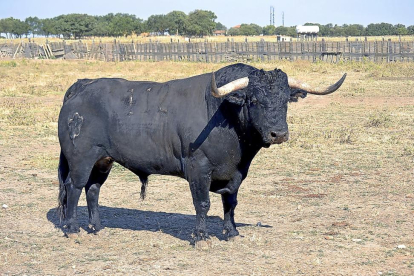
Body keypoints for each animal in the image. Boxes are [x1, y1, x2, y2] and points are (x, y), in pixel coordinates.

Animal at [56, 62, 344, 244]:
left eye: (285, 101)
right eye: (254, 100)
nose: (279, 133)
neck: (224, 112)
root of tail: (82, 86)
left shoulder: (236, 172)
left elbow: (230, 202)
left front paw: (231, 232)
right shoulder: (198, 168)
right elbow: (202, 203)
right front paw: (202, 237)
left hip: (103, 161)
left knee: (93, 189)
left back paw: (96, 227)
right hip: (81, 159)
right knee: (74, 187)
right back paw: (73, 229)